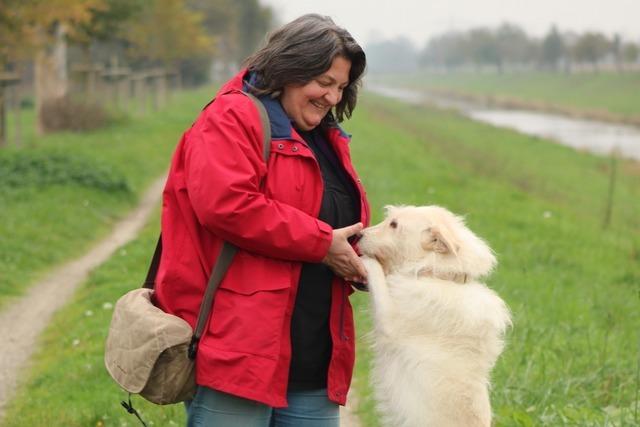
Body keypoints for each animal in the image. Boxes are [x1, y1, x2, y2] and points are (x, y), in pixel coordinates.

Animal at [360, 206, 510, 426]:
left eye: (394, 225)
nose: (357, 235)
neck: (435, 274)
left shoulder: (388, 321)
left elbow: (377, 273)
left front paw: (365, 259)